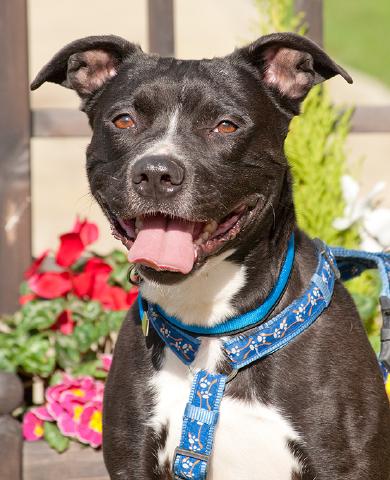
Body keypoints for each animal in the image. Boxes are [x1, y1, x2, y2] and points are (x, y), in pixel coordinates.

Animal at [31, 31, 390, 478]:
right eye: (124, 120)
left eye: (226, 125)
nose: (156, 172)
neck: (213, 333)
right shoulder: (133, 458)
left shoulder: (345, 463)